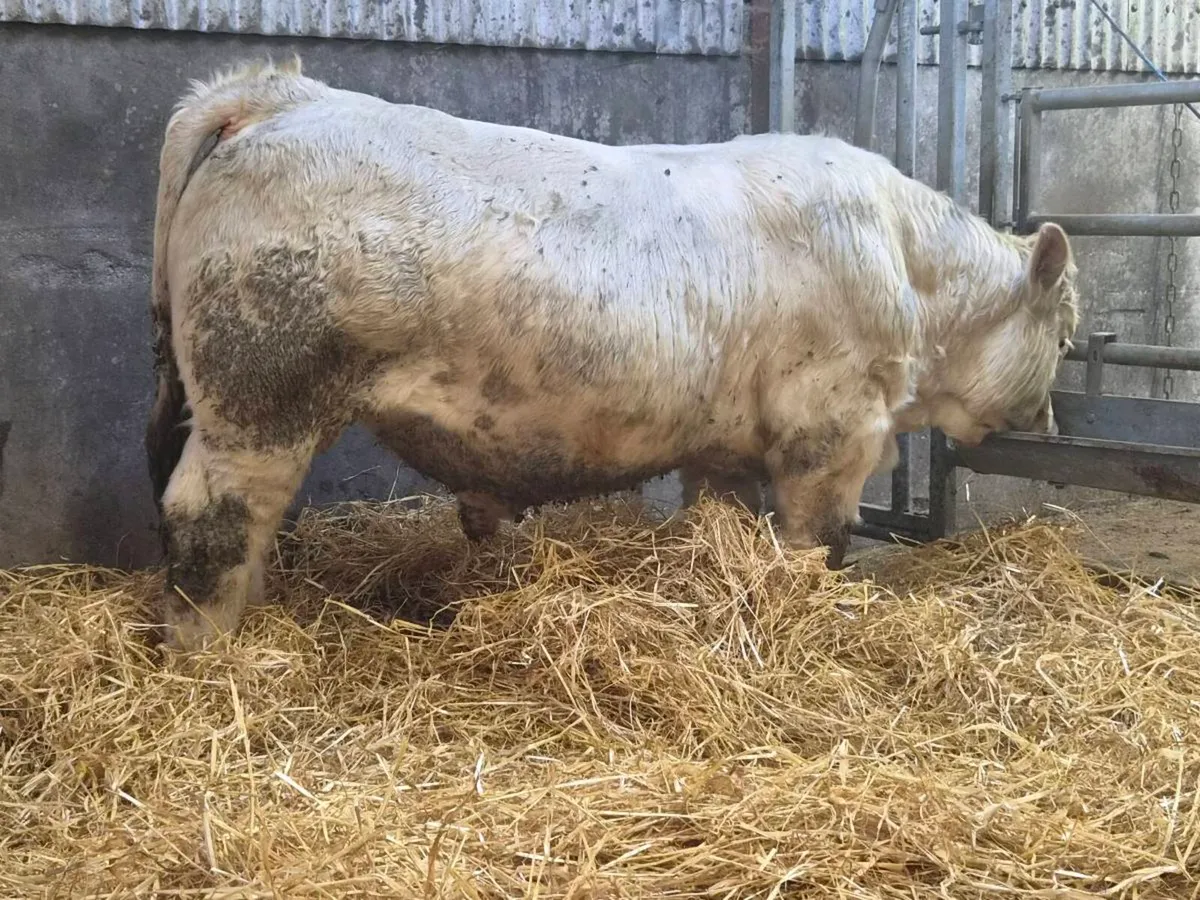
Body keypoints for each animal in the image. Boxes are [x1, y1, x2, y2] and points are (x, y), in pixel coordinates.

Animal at [145, 58, 1079, 652]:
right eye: (1066, 336)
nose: (1048, 420)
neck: (904, 262)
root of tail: (282, 94)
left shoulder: (724, 449)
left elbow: (722, 524)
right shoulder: (831, 432)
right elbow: (817, 546)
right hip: (259, 396)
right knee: (212, 515)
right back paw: (217, 653)